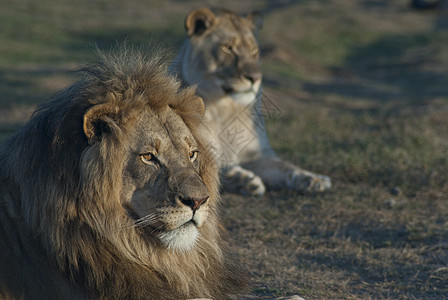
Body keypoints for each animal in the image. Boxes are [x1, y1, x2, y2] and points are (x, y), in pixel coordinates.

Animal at [170, 7, 330, 197]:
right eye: (227, 48)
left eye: (254, 50)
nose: (255, 77)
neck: (226, 109)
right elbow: (218, 168)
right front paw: (245, 179)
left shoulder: (260, 155)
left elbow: (287, 167)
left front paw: (314, 179)